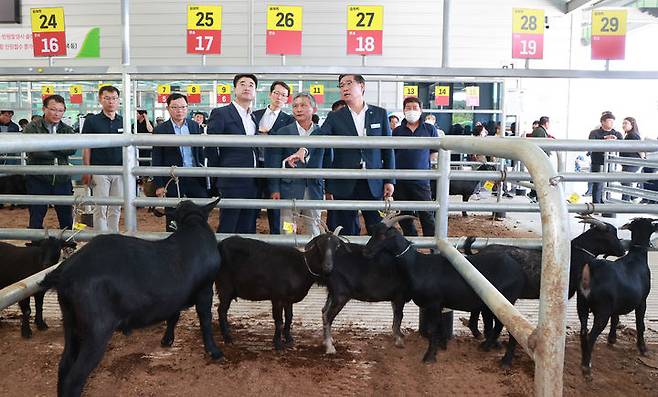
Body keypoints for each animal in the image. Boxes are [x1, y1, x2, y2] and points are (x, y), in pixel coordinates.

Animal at [40, 198, 220, 396]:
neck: (192, 225)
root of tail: (65, 273)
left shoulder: (176, 296)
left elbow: (174, 315)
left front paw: (167, 340)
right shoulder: (205, 289)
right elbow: (205, 319)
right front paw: (214, 351)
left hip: (70, 322)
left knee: (64, 366)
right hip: (97, 330)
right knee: (75, 378)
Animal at [362, 215, 524, 364]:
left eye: (382, 235)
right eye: (373, 232)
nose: (366, 251)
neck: (417, 265)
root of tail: (518, 269)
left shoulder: (433, 303)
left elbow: (433, 330)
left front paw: (429, 356)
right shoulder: (439, 305)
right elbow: (439, 328)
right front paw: (441, 347)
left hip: (506, 300)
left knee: (508, 327)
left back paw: (503, 359)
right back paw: (486, 346)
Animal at [576, 218, 652, 378]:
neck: (636, 257)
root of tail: (591, 269)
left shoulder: (616, 305)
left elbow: (615, 319)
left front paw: (612, 339)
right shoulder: (642, 301)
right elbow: (640, 324)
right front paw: (642, 348)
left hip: (582, 304)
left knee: (584, 332)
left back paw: (584, 361)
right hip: (602, 310)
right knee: (591, 335)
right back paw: (587, 368)